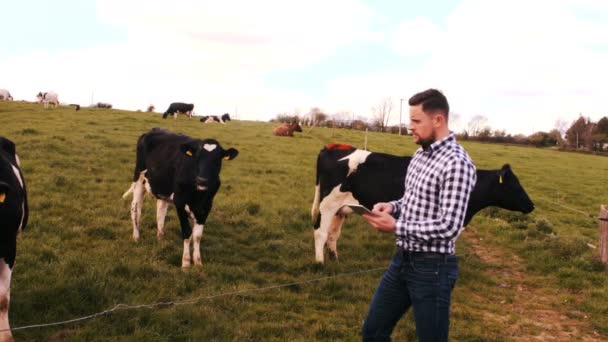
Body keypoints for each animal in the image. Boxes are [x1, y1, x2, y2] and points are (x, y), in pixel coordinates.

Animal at [121, 127, 238, 268]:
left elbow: (197, 235)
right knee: (136, 208)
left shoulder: (206, 206)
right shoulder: (180, 202)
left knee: (160, 210)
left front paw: (198, 262)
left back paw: (160, 236)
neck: (198, 195)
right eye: (197, 157)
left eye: (217, 159)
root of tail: (152, 130)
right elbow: (187, 232)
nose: (202, 180)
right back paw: (136, 236)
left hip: (163, 187)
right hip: (139, 177)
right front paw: (186, 263)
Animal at [312, 143, 536, 264]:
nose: (531, 205)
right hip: (327, 205)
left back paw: (335, 259)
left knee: (333, 235)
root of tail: (332, 147)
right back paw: (320, 262)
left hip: (341, 209)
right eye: (515, 186)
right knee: (320, 232)